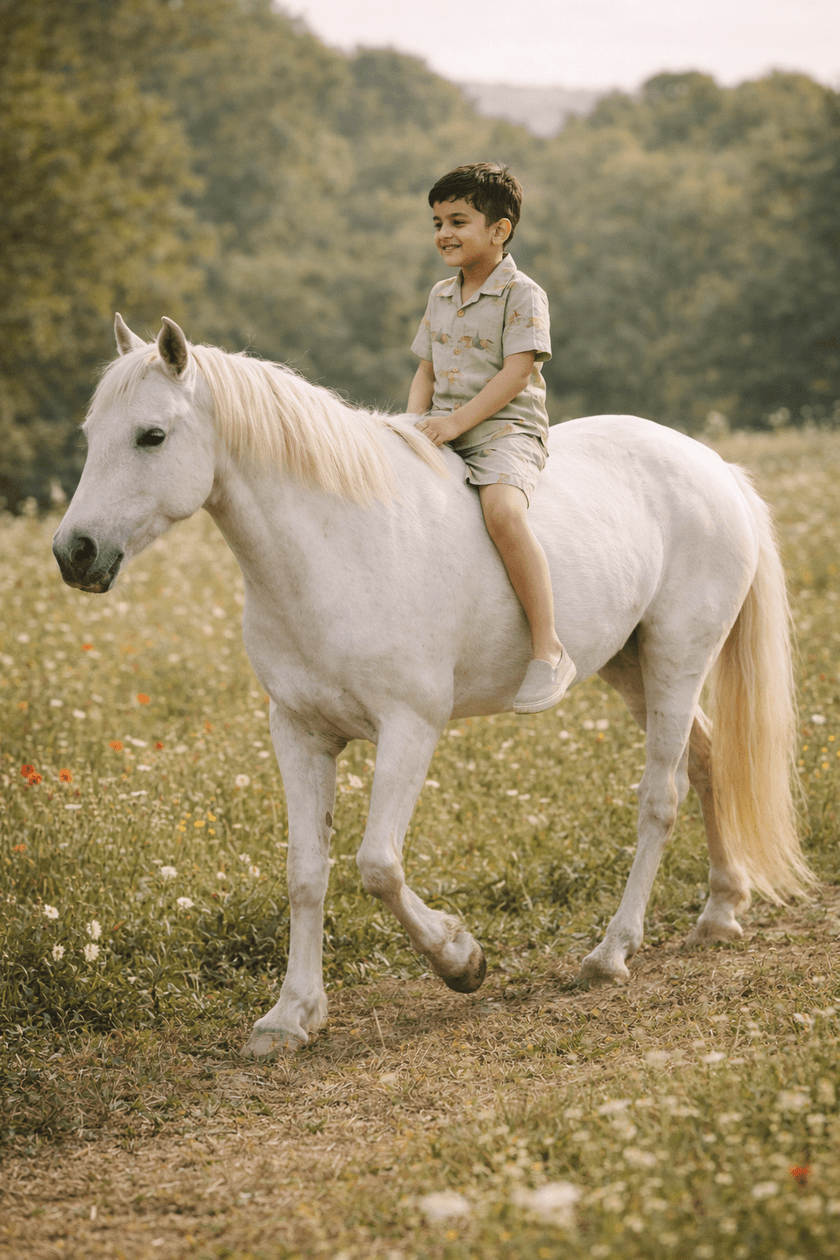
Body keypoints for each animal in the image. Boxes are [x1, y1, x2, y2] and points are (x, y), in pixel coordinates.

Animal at [53, 315, 812, 1058]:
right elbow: (306, 872)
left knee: (660, 797)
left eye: (151, 435)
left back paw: (612, 952)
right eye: (91, 435)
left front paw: (461, 960)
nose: (74, 553)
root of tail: (714, 466)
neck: (335, 545)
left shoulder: (410, 728)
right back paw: (721, 911)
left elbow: (377, 866)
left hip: (678, 658)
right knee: (708, 762)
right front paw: (290, 1015)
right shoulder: (299, 734)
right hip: (632, 668)